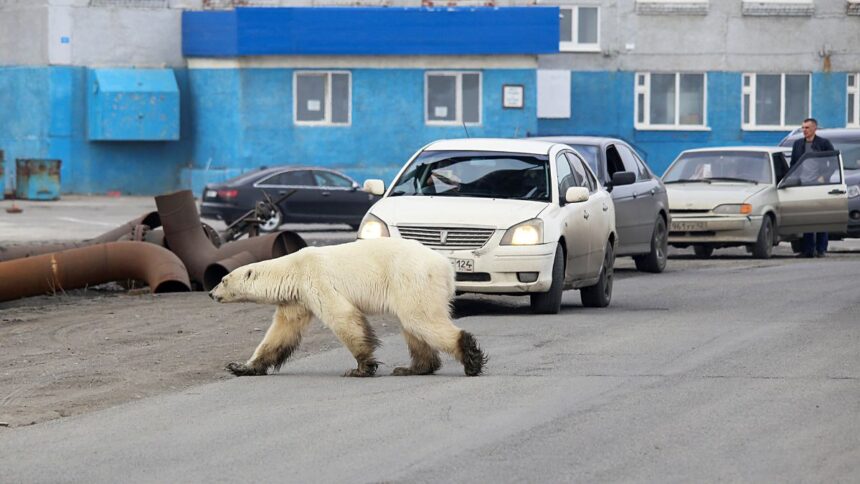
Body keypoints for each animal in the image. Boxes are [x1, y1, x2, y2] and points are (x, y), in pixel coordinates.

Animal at [209, 238, 488, 378]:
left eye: (223, 279)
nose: (211, 293)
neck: (293, 268)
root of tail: (446, 266)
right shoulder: (296, 299)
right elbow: (281, 332)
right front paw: (241, 367)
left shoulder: (316, 279)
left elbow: (343, 317)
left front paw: (361, 368)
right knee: (413, 327)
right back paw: (412, 368)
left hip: (411, 278)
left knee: (420, 319)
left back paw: (471, 359)